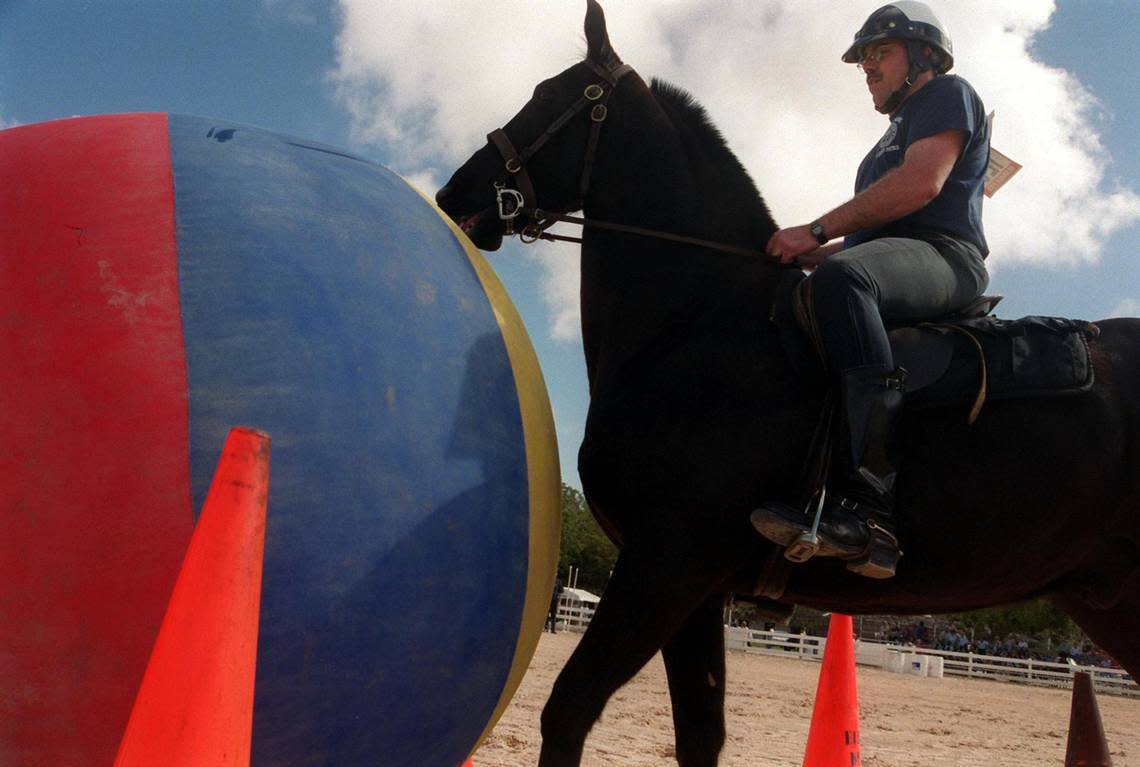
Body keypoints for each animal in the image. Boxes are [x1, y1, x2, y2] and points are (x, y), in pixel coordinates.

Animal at [435, 2, 1140, 761]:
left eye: (548, 97)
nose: (453, 193)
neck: (700, 321)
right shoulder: (695, 586)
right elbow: (699, 733)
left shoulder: (666, 562)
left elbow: (568, 708)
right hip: (1111, 600)